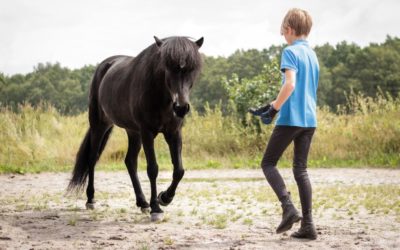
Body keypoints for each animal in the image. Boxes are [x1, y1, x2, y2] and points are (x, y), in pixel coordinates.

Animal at [68, 35, 203, 221]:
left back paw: (142, 203)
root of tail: (104, 67)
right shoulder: (147, 132)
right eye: (167, 67)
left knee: (130, 161)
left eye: (192, 69)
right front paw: (156, 208)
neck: (160, 96)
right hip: (99, 125)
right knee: (92, 158)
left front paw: (164, 198)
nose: (181, 108)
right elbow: (153, 169)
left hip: (133, 132)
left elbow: (179, 170)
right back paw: (91, 199)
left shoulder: (174, 133)